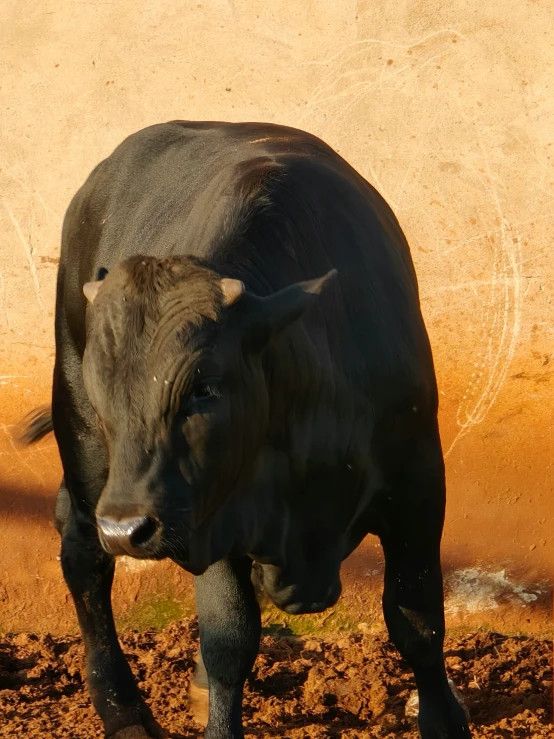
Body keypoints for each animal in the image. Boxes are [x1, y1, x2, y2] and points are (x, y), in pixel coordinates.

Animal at [21, 121, 470, 739]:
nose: (128, 528)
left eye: (204, 387)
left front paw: (446, 719)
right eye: (102, 385)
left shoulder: (419, 485)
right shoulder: (211, 514)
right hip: (89, 454)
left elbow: (417, 617)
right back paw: (124, 710)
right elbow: (229, 639)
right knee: (84, 558)